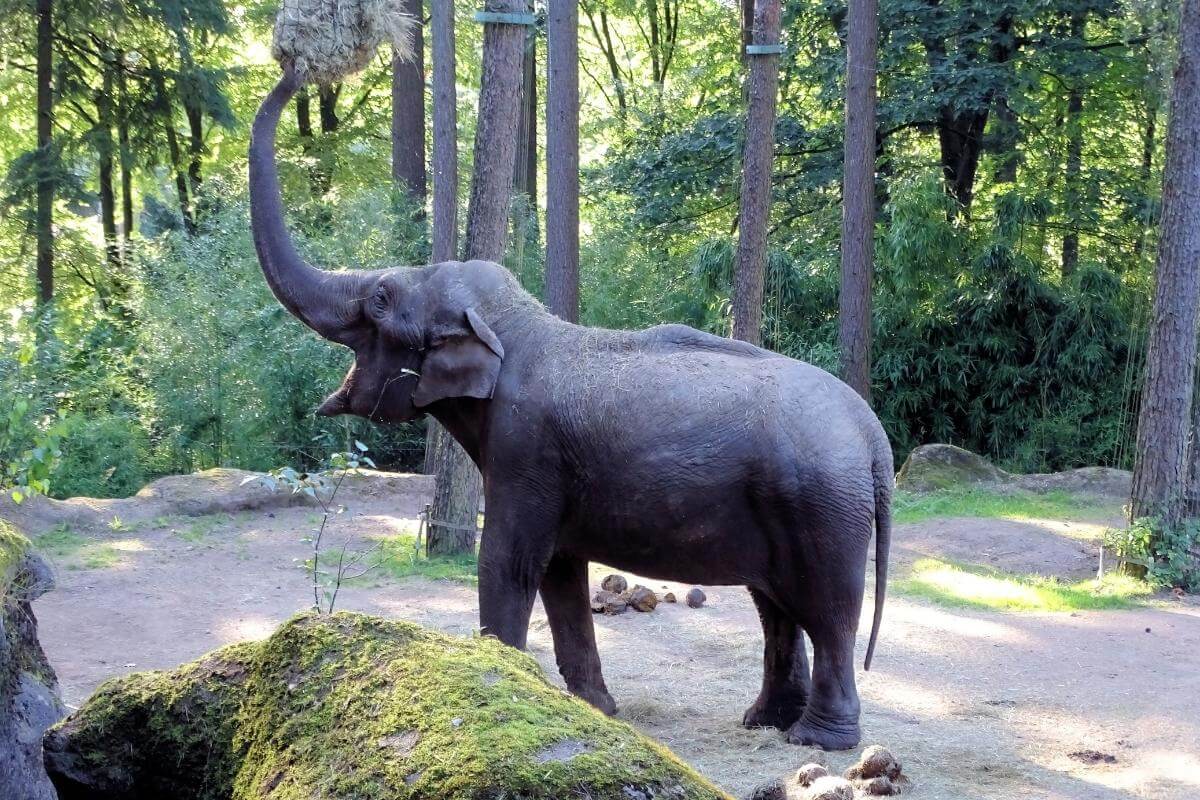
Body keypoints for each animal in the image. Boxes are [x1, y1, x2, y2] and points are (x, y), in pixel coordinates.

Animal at [248, 70, 893, 751]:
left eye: (378, 297)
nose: (296, 66)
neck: (516, 324)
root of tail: (873, 436)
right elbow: (560, 569)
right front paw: (596, 710)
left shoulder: (525, 448)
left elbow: (508, 560)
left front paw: (506, 686)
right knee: (776, 605)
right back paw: (767, 721)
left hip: (822, 508)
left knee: (827, 613)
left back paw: (817, 740)